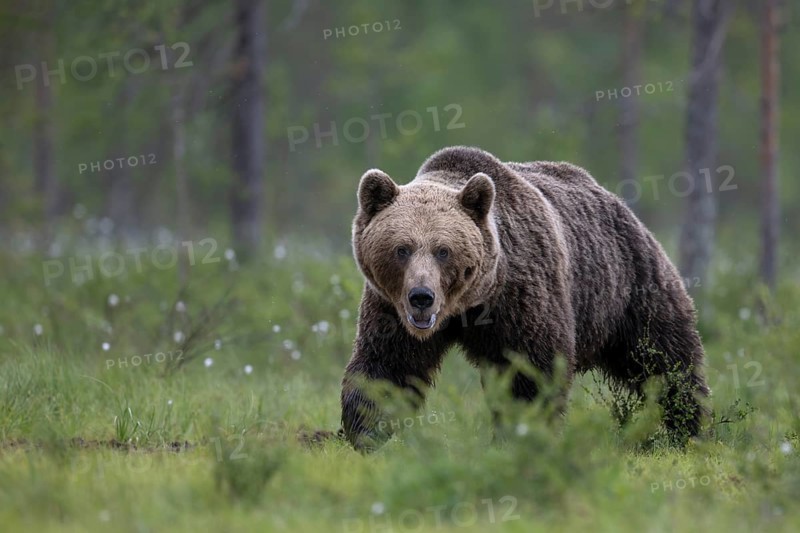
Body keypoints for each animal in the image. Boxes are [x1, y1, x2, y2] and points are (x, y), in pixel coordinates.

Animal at [340, 146, 709, 451]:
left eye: (443, 251)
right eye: (402, 249)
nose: (422, 297)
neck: (467, 305)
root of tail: (616, 202)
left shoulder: (521, 295)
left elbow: (530, 371)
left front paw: (523, 432)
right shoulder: (390, 307)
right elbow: (388, 367)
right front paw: (365, 432)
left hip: (630, 288)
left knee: (664, 360)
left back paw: (689, 427)